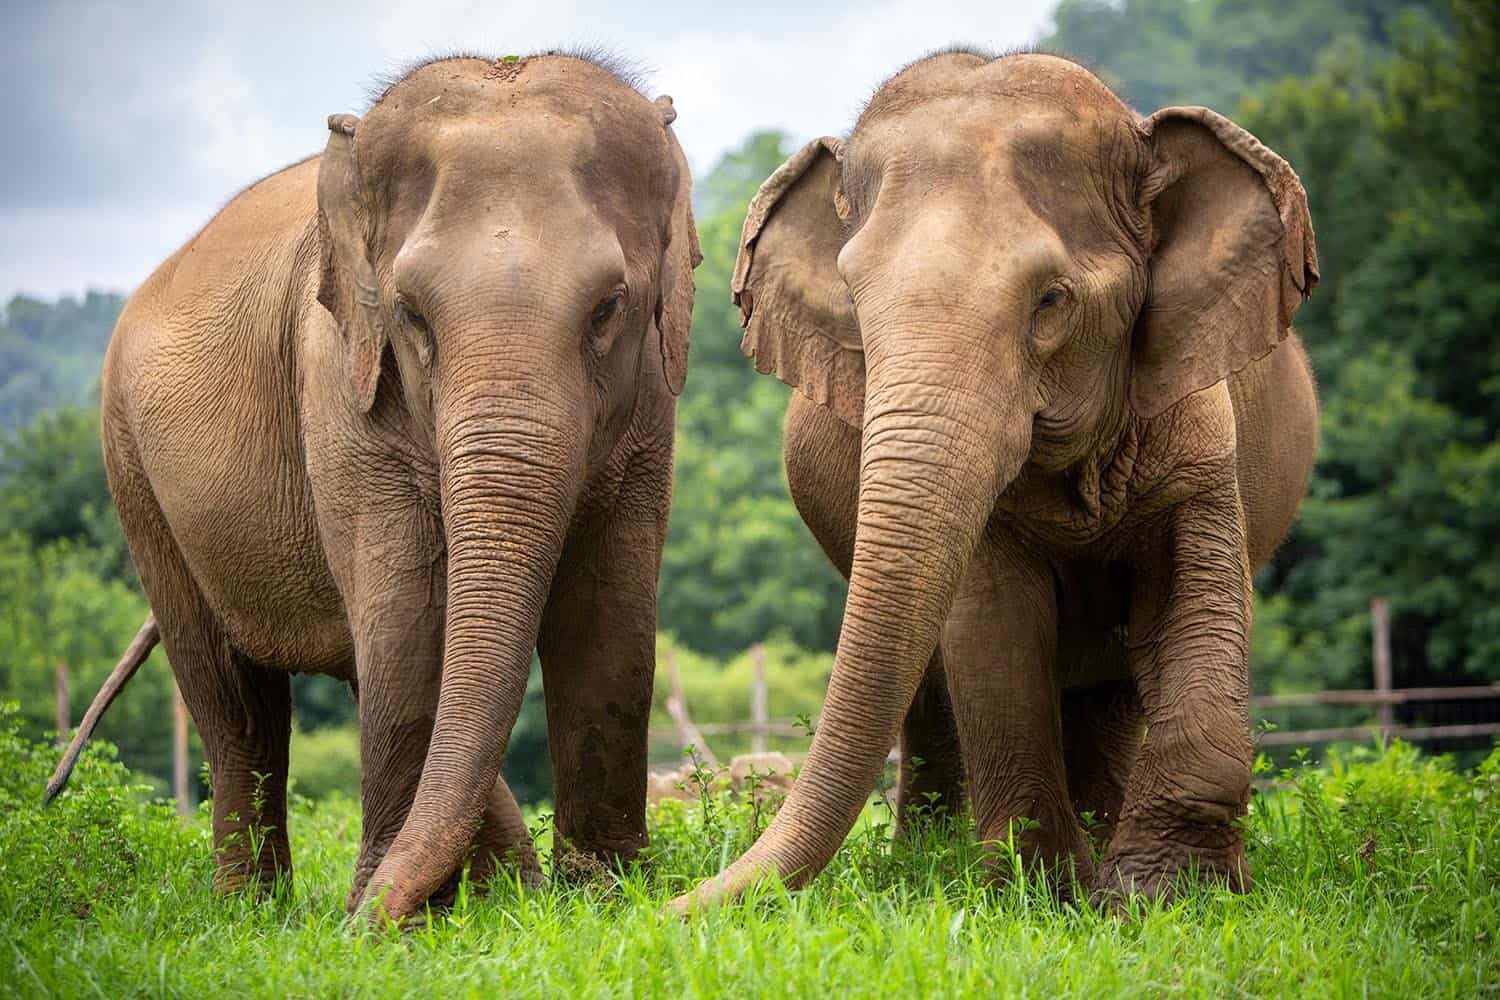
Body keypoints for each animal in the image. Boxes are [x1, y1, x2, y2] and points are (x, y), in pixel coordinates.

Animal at [56, 53, 699, 923]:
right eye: (410, 314)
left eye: (609, 307)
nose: (355, 928)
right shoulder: (341, 383)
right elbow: (407, 614)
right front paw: (407, 918)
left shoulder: (651, 409)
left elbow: (609, 613)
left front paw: (602, 900)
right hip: (133, 473)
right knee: (235, 700)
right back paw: (251, 912)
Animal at [670, 50, 1318, 911]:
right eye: (855, 309)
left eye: (1050, 301)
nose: (656, 907)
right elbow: (994, 633)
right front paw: (1042, 894)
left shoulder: (1198, 428)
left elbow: (1194, 599)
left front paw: (1166, 898)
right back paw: (937, 860)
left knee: (1112, 691)